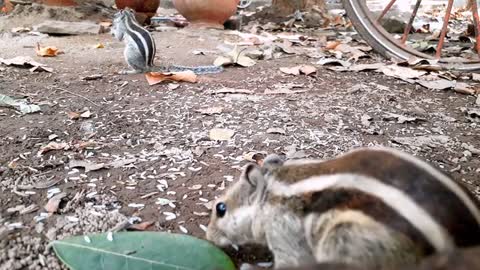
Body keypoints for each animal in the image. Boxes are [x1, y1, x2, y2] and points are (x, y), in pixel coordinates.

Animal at [207, 147, 480, 268]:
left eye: (221, 208)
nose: (208, 237)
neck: (273, 190)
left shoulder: (285, 239)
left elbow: (290, 264)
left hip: (346, 241)